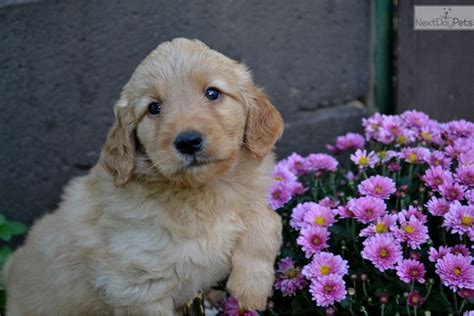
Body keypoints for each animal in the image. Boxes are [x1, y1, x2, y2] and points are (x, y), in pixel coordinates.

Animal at [3, 38, 284, 314]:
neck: (202, 190)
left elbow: (269, 218)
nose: (188, 141)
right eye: (154, 108)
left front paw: (251, 287)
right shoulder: (139, 288)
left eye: (213, 93)